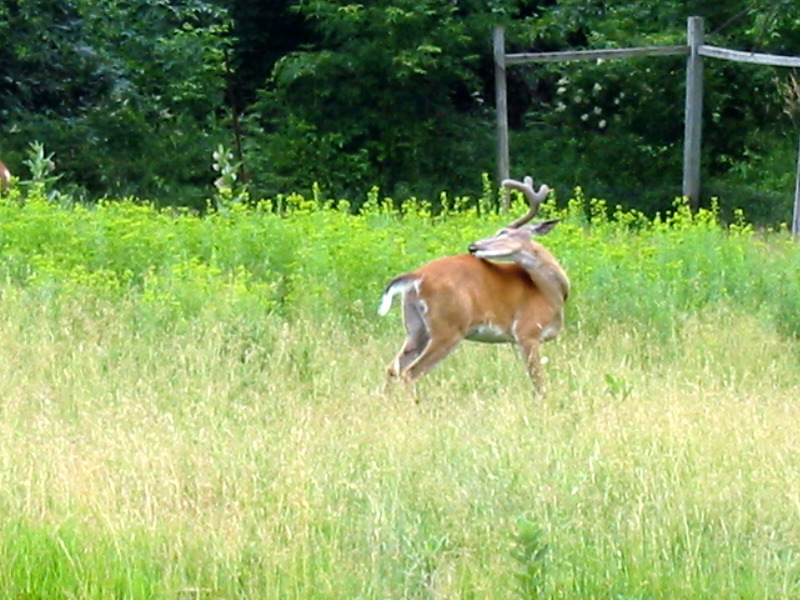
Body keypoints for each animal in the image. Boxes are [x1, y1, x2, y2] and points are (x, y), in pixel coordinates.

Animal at [378, 176, 569, 394]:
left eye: (503, 232)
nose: (473, 246)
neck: (552, 292)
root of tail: (417, 276)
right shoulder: (527, 331)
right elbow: (539, 382)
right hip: (448, 326)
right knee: (410, 372)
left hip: (415, 327)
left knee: (392, 368)